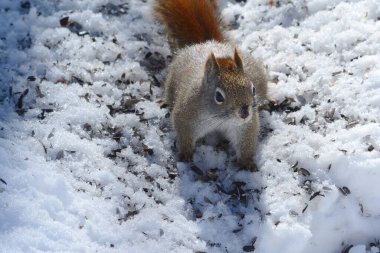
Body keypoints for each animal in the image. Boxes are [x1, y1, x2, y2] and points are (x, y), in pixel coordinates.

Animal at [154, 0, 268, 171]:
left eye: (253, 90)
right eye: (219, 96)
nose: (244, 113)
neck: (220, 119)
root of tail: (208, 43)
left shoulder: (246, 126)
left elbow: (246, 143)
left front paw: (246, 162)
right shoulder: (186, 116)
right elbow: (184, 135)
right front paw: (186, 153)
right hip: (171, 81)